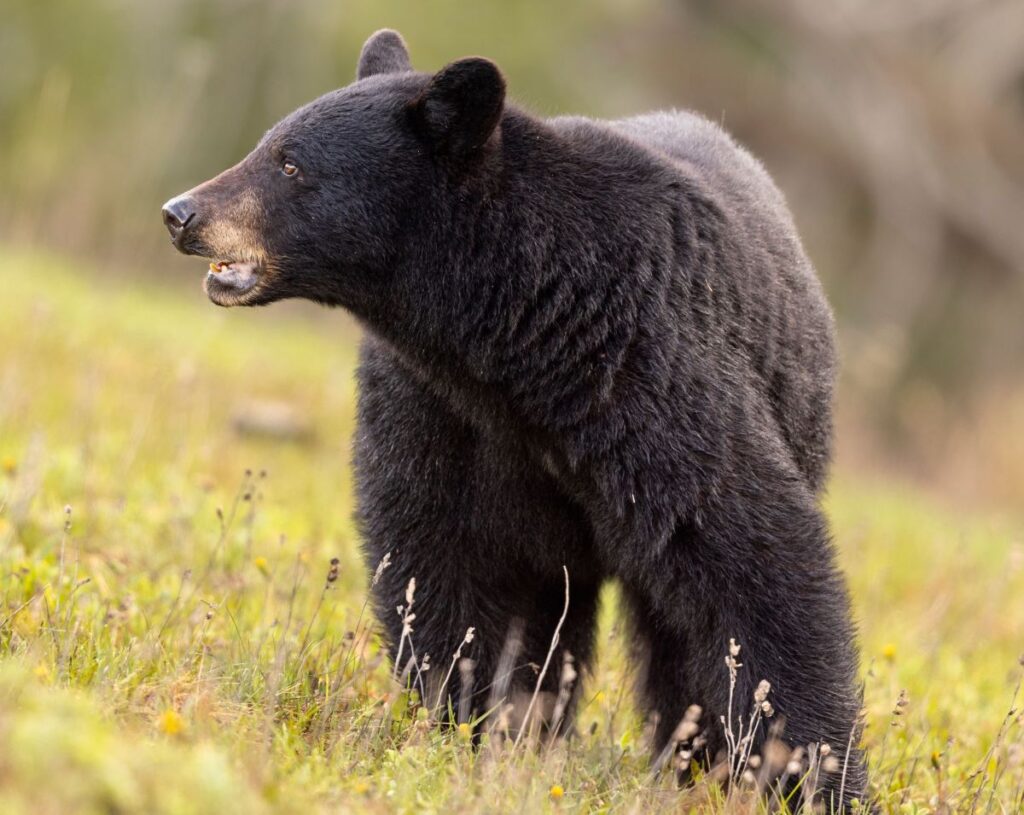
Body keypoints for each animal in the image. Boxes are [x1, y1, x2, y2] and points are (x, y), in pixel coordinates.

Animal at [165, 28, 864, 806]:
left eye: (290, 163)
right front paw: (477, 726)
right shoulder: (437, 407)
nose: (181, 213)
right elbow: (447, 564)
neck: (524, 344)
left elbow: (752, 562)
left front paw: (809, 774)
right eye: (267, 143)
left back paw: (691, 761)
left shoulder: (658, 376)